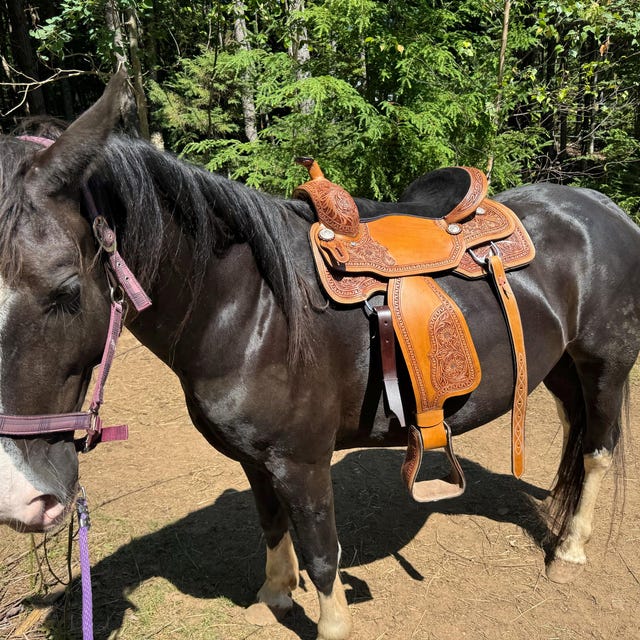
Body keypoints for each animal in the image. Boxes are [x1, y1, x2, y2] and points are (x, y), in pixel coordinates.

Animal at [1, 73, 639, 640]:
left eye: (66, 290)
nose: (21, 497)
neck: (250, 306)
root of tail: (602, 206)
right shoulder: (256, 459)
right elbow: (270, 524)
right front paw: (275, 595)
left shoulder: (302, 462)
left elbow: (322, 553)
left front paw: (329, 624)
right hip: (559, 369)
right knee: (576, 433)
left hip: (604, 365)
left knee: (598, 450)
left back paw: (570, 549)